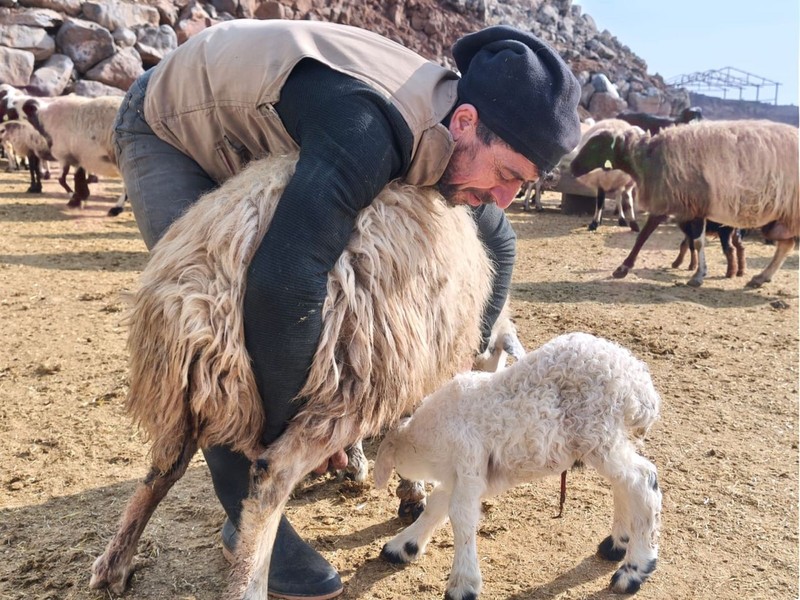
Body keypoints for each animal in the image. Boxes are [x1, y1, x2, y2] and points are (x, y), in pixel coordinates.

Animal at [90, 152, 496, 596]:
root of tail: (223, 257)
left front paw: (359, 465)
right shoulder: (417, 361)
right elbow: (408, 427)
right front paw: (409, 492)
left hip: (183, 385)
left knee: (162, 469)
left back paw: (114, 562)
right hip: (350, 370)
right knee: (272, 476)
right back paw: (249, 583)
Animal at [376, 332, 664, 600]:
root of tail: (639, 384)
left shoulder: (468, 462)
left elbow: (460, 516)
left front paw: (462, 584)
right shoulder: (461, 474)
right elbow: (437, 505)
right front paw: (403, 546)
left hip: (596, 431)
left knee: (642, 479)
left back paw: (634, 570)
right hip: (605, 439)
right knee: (624, 484)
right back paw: (616, 544)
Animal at [572, 119, 796, 288]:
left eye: (595, 144)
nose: (573, 167)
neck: (648, 159)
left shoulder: (679, 203)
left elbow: (670, 239)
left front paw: (697, 275)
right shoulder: (683, 205)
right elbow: (671, 239)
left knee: (785, 245)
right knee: (786, 245)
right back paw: (761, 277)